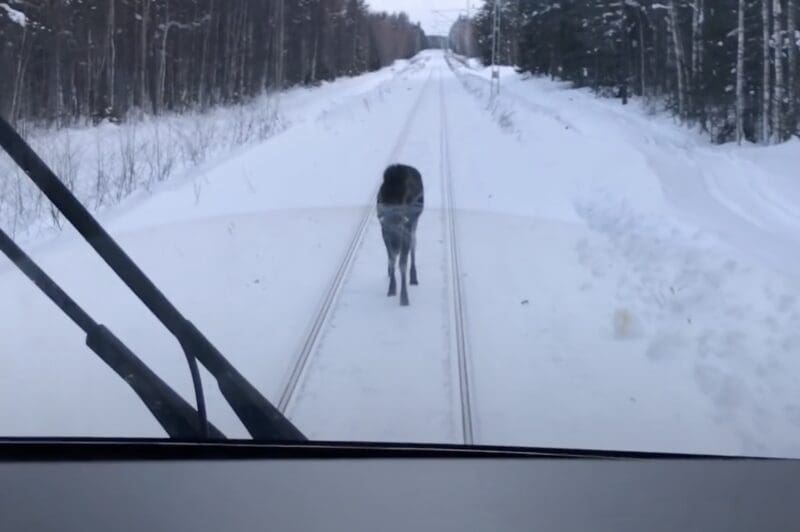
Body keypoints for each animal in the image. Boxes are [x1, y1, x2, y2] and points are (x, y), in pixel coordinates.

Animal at [377, 164, 424, 306]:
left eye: (400, 227)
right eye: (387, 229)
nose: (396, 247)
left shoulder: (406, 230)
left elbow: (402, 263)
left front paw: (404, 298)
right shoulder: (384, 234)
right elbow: (392, 260)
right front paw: (392, 289)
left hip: (415, 224)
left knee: (414, 245)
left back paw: (413, 277)